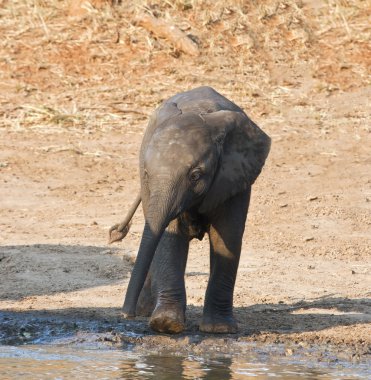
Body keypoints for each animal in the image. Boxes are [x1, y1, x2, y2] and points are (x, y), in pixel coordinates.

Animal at [109, 86, 270, 332]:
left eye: (195, 176)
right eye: (146, 173)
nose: (125, 314)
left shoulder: (234, 179)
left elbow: (227, 238)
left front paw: (219, 329)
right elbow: (169, 234)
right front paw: (166, 325)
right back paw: (147, 310)